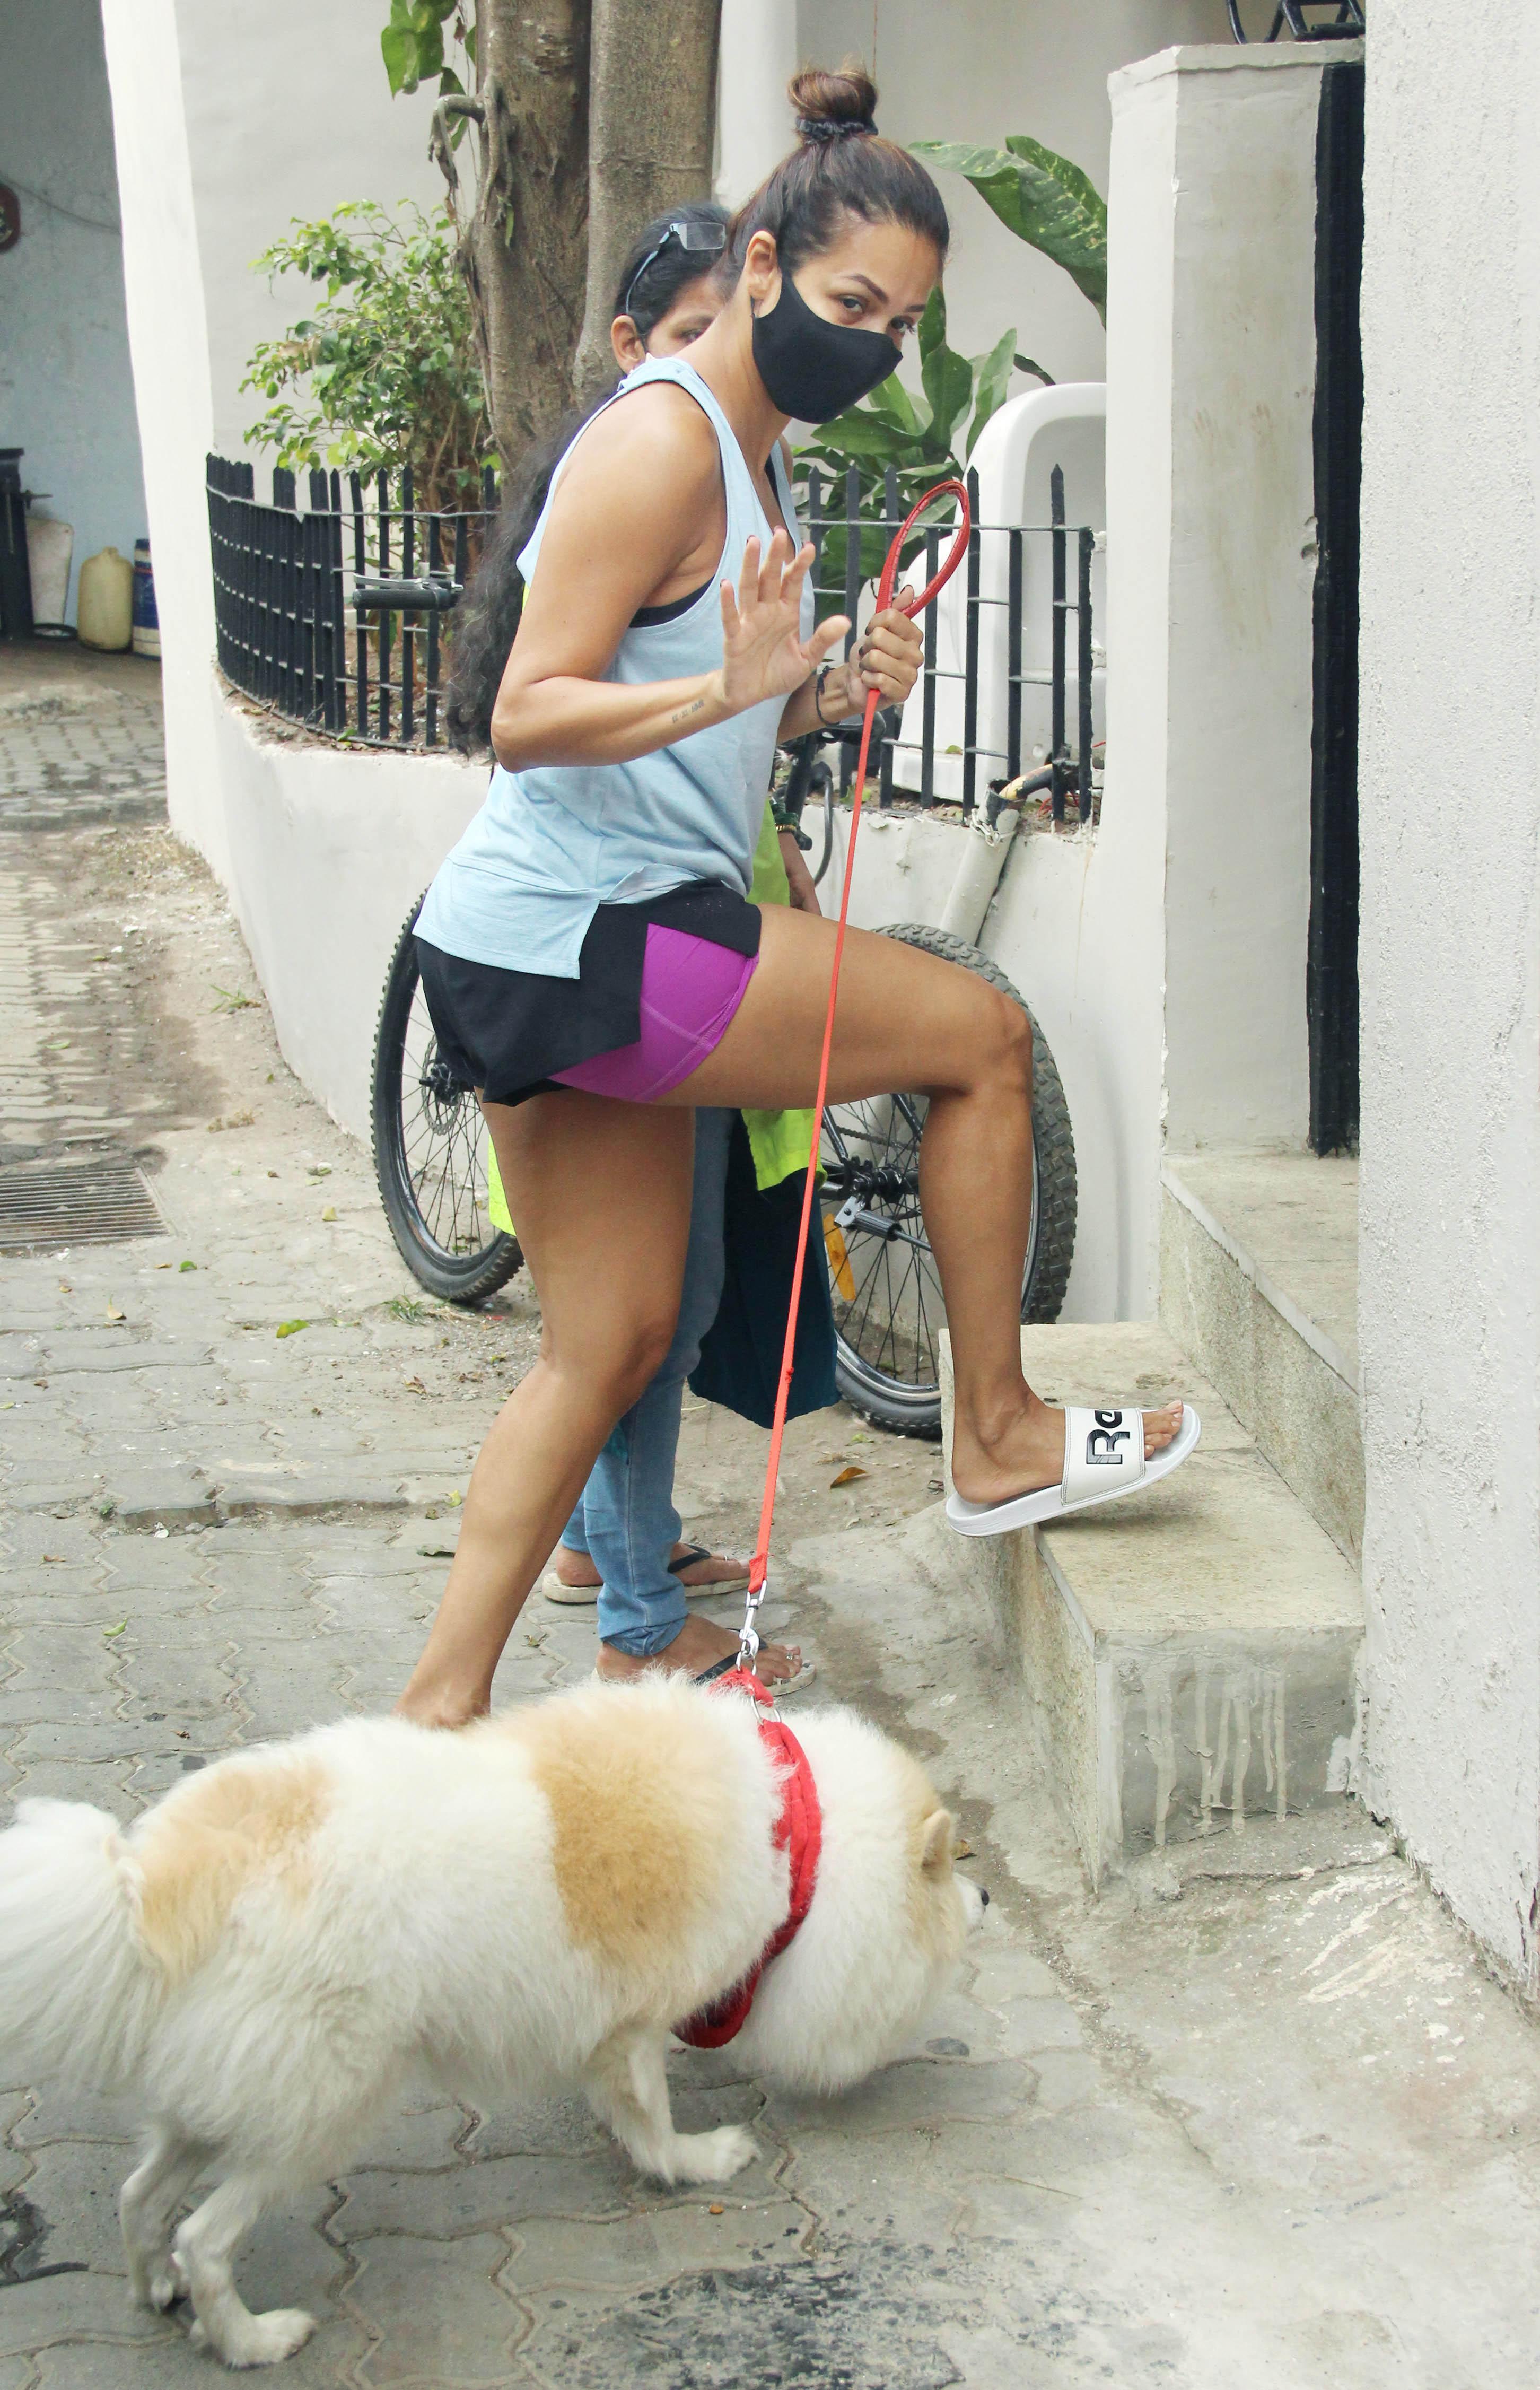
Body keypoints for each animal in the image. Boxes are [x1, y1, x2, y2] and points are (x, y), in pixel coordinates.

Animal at [0, 1682, 985, 2370]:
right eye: (951, 1872)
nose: (981, 1900)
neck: (800, 1833)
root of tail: (151, 1889)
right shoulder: (635, 2023)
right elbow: (652, 2113)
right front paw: (695, 2162)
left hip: (228, 2093)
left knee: (140, 2196)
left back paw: (154, 2288)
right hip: (323, 2108)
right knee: (204, 2235)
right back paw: (251, 2339)